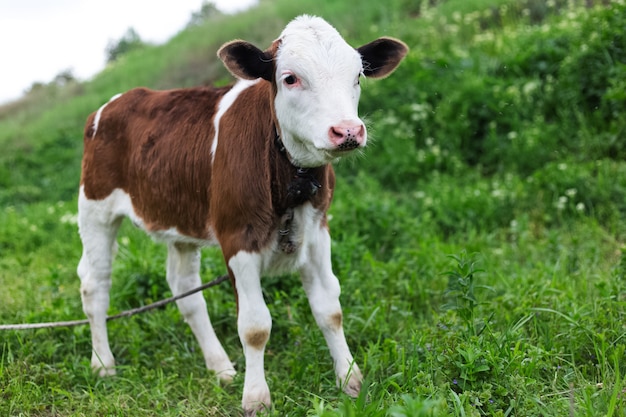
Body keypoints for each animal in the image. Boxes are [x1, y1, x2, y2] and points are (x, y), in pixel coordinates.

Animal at [77, 14, 404, 414]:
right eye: (290, 78)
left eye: (357, 75)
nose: (347, 131)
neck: (288, 178)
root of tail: (114, 103)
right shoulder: (237, 236)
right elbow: (255, 325)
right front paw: (257, 398)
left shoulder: (317, 229)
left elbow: (330, 307)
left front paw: (350, 379)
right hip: (95, 209)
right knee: (95, 284)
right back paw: (103, 364)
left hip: (180, 220)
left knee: (184, 289)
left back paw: (219, 366)